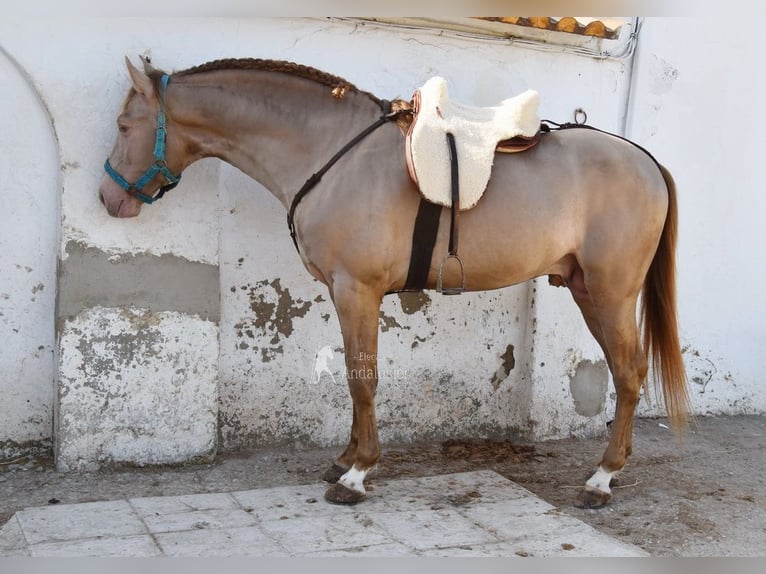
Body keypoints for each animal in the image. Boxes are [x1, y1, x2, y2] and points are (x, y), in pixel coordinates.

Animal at [98, 56, 690, 509]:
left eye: (125, 126)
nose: (109, 198)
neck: (330, 151)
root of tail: (646, 160)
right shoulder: (345, 294)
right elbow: (353, 374)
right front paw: (344, 460)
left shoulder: (355, 290)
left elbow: (363, 380)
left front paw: (357, 474)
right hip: (588, 290)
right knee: (626, 371)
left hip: (613, 293)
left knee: (629, 373)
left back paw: (601, 480)